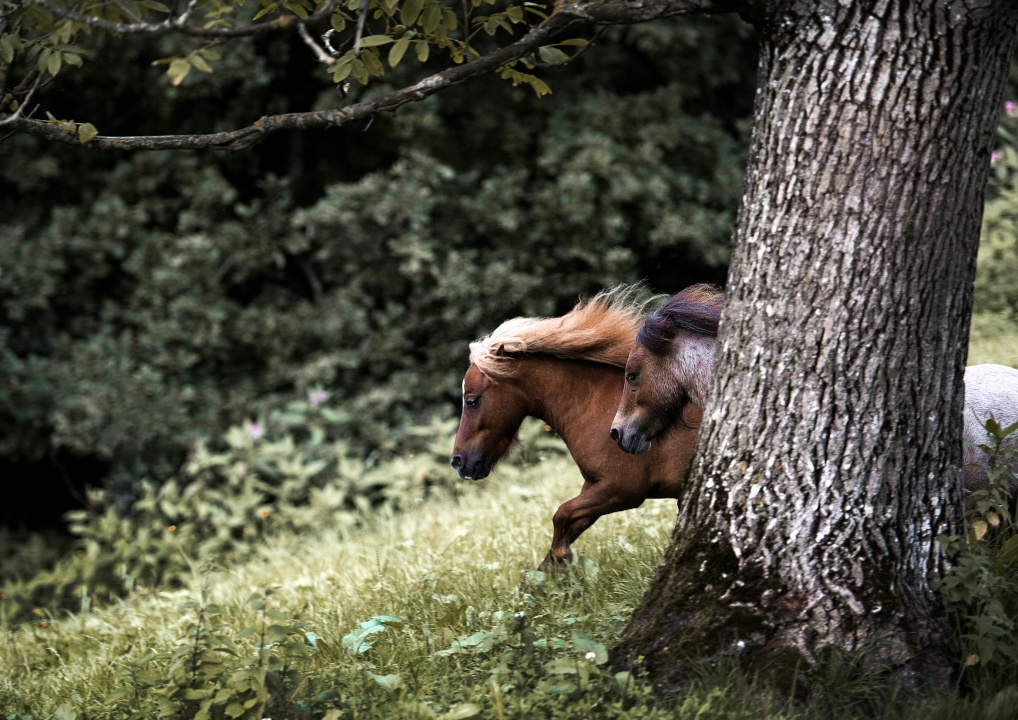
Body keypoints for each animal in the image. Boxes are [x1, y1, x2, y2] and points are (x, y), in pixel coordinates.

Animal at [451, 285, 700, 570]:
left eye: (471, 400)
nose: (458, 461)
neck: (598, 403)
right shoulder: (594, 487)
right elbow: (570, 525)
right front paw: (546, 574)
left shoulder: (621, 490)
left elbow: (561, 515)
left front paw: (563, 558)